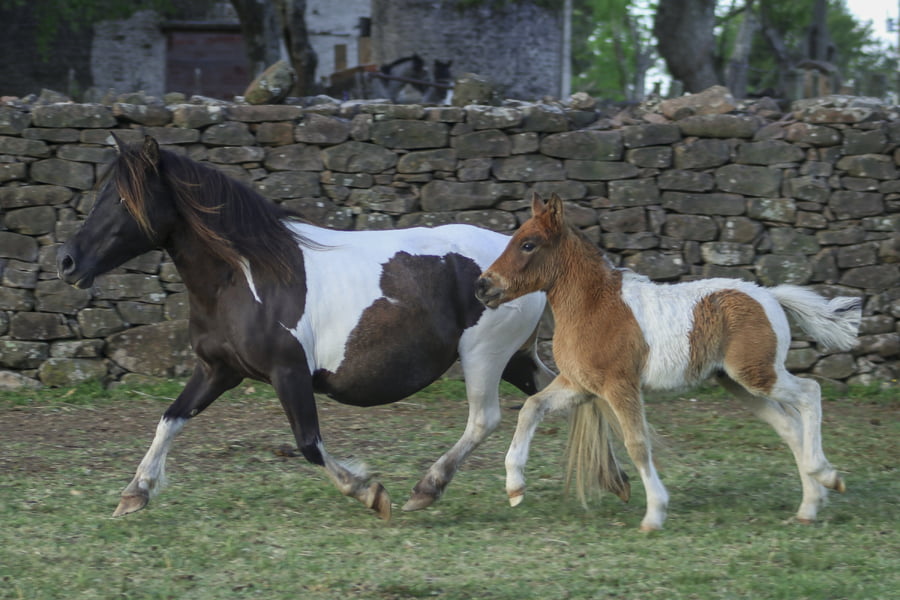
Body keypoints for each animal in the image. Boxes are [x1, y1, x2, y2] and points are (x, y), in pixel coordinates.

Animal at [57, 135, 555, 520]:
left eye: (124, 199)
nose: (67, 263)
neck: (245, 276)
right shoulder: (218, 370)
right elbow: (170, 419)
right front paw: (134, 493)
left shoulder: (289, 372)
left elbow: (309, 444)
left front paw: (371, 493)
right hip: (514, 358)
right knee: (549, 397)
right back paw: (526, 483)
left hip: (484, 354)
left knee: (485, 418)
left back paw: (427, 489)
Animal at [475, 193, 860, 531]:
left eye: (528, 244)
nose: (482, 286)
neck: (594, 305)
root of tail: (769, 295)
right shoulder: (580, 385)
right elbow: (531, 408)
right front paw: (514, 487)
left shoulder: (620, 386)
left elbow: (637, 444)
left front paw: (654, 514)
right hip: (738, 383)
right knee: (789, 426)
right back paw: (810, 505)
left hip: (757, 373)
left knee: (810, 392)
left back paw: (827, 476)